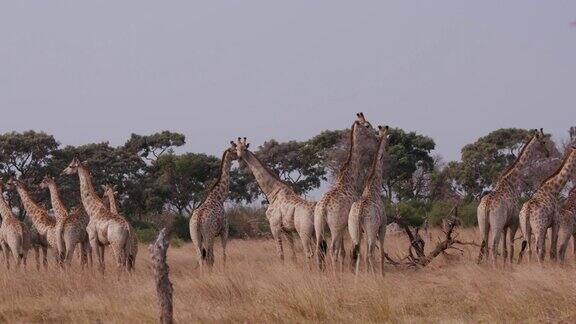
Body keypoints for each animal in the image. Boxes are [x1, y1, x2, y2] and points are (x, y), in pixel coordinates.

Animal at [233, 137, 318, 266]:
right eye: (236, 148)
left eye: (244, 148)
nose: (239, 157)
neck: (272, 192)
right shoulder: (286, 229)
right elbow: (292, 253)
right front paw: (294, 267)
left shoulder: (274, 226)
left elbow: (280, 254)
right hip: (316, 232)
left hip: (304, 232)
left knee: (309, 253)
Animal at [312, 112, 376, 270]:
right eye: (367, 125)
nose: (377, 135)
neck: (348, 178)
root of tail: (323, 208)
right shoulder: (345, 225)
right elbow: (345, 250)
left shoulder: (342, 226)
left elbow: (342, 252)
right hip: (334, 227)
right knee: (331, 249)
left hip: (318, 225)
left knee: (319, 249)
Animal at [348, 125, 390, 274]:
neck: (374, 187)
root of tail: (360, 212)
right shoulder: (383, 225)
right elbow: (382, 252)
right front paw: (382, 275)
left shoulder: (365, 230)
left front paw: (366, 273)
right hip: (371, 229)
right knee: (370, 253)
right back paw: (376, 277)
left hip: (354, 229)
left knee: (357, 253)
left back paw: (358, 277)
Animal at [476, 128, 548, 264]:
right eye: (543, 142)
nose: (548, 153)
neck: (511, 181)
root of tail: (487, 204)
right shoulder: (513, 223)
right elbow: (511, 249)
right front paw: (510, 267)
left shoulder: (505, 225)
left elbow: (504, 250)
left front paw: (505, 267)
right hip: (496, 224)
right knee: (493, 246)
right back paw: (493, 267)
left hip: (483, 223)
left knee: (486, 245)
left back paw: (487, 266)